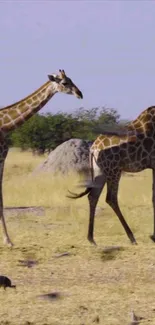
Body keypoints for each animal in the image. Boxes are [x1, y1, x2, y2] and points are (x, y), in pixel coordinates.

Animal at [0, 68, 83, 246]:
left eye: (72, 79)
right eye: (65, 82)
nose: (80, 94)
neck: (5, 125)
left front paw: (7, 239)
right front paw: (8, 240)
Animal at [68, 105, 155, 244]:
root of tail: (93, 148)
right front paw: (153, 236)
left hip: (101, 171)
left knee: (93, 196)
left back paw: (91, 238)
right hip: (114, 170)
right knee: (111, 198)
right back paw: (131, 237)